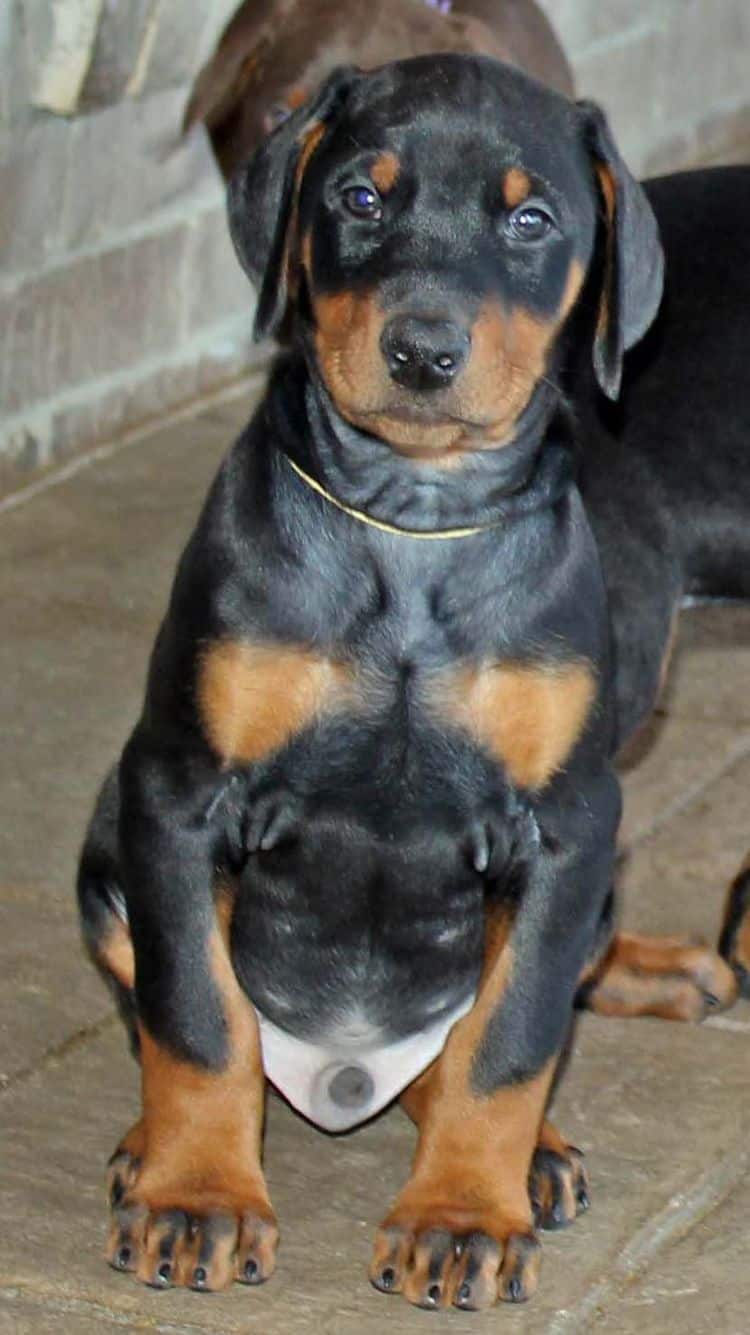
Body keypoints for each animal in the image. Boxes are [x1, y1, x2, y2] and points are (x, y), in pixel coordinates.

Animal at [77, 54, 741, 1313]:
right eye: (360, 198)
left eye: (532, 220)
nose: (423, 353)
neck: (412, 521)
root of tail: (345, 1075)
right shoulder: (175, 790)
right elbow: (197, 1017)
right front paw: (198, 1197)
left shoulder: (570, 824)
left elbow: (507, 1041)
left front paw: (461, 1218)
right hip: (106, 853)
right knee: (189, 1004)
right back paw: (147, 1148)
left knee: (495, 1021)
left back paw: (550, 1137)